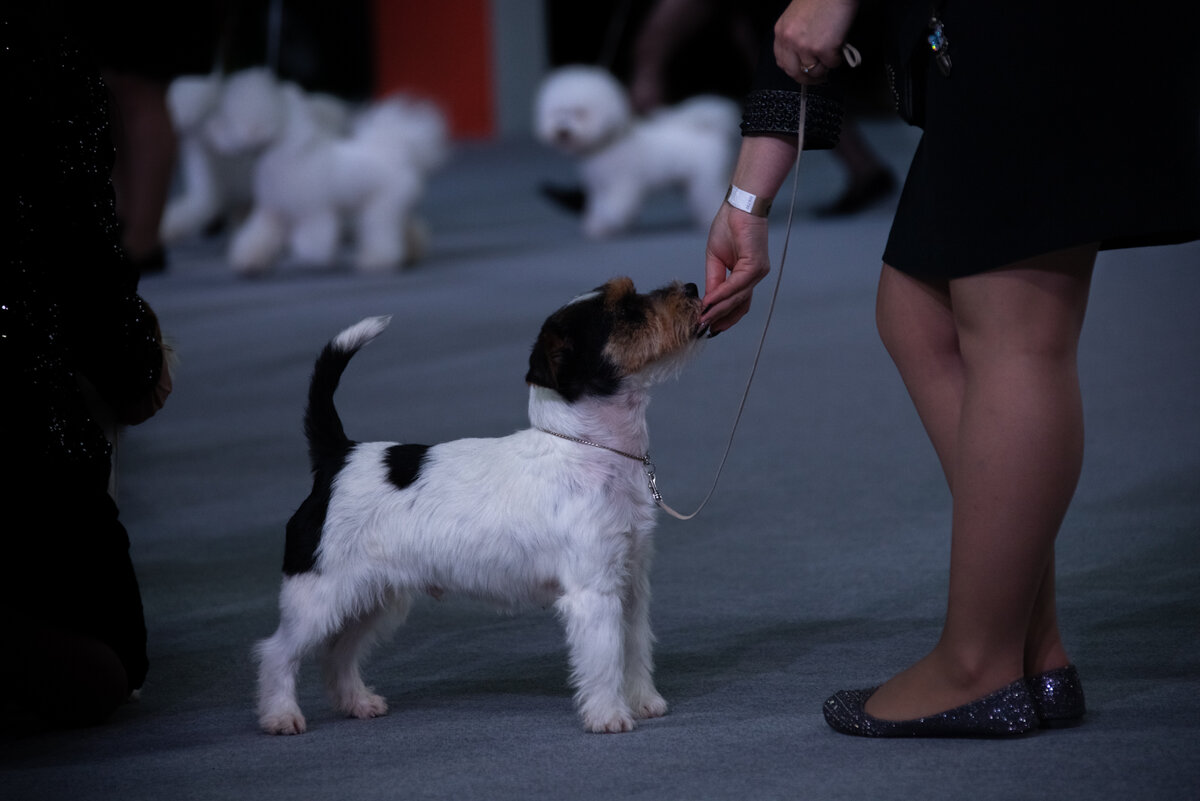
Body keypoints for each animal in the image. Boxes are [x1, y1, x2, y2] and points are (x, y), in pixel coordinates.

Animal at [535, 64, 739, 237]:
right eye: (557, 112)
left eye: (580, 113)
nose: (562, 131)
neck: (606, 145)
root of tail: (709, 130)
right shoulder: (599, 186)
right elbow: (598, 205)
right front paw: (597, 226)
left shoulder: (623, 182)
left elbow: (614, 205)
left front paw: (610, 219)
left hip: (706, 180)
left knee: (711, 197)